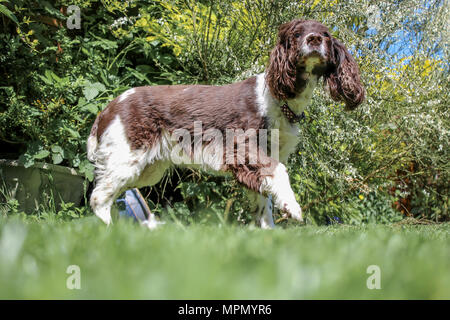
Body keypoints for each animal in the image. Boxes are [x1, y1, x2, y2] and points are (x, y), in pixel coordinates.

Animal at [86, 19, 364, 228]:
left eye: (326, 34)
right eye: (297, 34)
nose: (314, 39)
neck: (280, 99)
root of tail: (110, 106)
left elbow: (263, 203)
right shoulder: (243, 146)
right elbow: (279, 172)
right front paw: (292, 207)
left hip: (146, 171)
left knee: (114, 195)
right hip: (127, 158)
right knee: (98, 198)